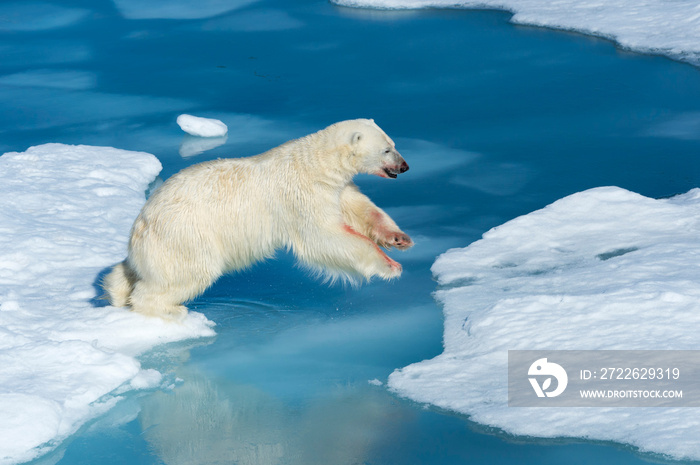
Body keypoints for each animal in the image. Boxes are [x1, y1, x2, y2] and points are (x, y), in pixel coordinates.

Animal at [102, 118, 410, 318]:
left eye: (394, 143)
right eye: (386, 149)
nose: (405, 166)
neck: (316, 163)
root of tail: (143, 220)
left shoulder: (336, 188)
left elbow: (360, 209)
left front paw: (399, 239)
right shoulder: (300, 195)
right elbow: (323, 237)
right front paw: (390, 265)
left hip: (154, 245)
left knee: (130, 270)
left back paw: (116, 293)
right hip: (186, 235)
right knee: (186, 274)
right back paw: (170, 310)